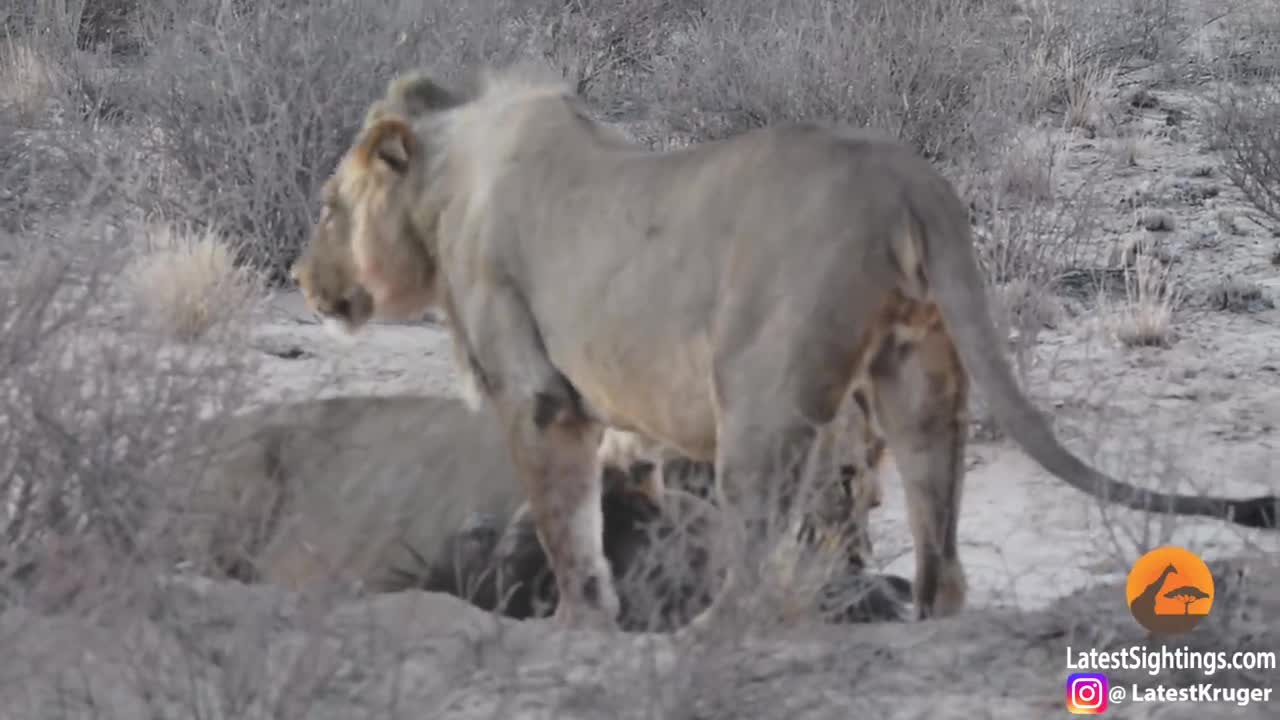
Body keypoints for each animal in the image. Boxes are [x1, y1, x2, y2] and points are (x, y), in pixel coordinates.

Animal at [290, 65, 1280, 627]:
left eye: (329, 209)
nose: (303, 279)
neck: (445, 182)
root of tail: (908, 177)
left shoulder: (537, 393)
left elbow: (567, 526)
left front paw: (578, 623)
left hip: (763, 396)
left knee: (758, 557)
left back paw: (709, 638)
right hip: (920, 376)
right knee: (942, 556)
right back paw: (926, 622)